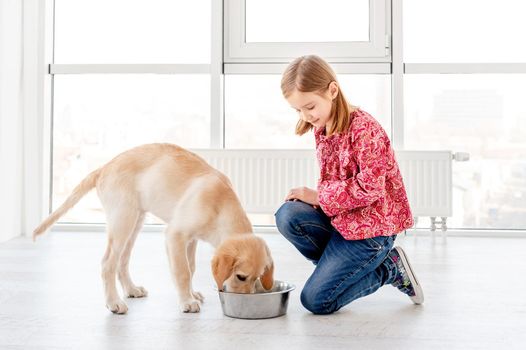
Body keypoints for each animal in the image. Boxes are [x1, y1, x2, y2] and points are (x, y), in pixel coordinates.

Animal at [32, 143, 274, 314]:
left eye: (257, 278)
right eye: (241, 277)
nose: (245, 299)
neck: (221, 206)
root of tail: (104, 167)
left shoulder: (191, 240)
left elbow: (192, 267)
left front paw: (191, 294)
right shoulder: (175, 235)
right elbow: (183, 271)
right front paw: (187, 301)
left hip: (135, 222)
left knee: (122, 262)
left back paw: (131, 290)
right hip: (123, 220)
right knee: (108, 263)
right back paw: (113, 302)